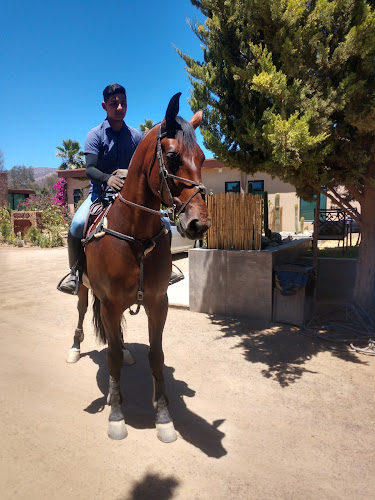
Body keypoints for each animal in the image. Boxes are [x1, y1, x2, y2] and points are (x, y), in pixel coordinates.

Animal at [66, 94, 213, 442]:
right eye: (172, 157)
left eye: (202, 158)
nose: (199, 224)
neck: (134, 235)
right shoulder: (109, 302)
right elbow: (112, 358)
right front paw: (117, 415)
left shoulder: (158, 303)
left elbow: (156, 356)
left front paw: (163, 415)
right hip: (84, 288)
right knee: (82, 311)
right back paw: (75, 349)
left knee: (115, 337)